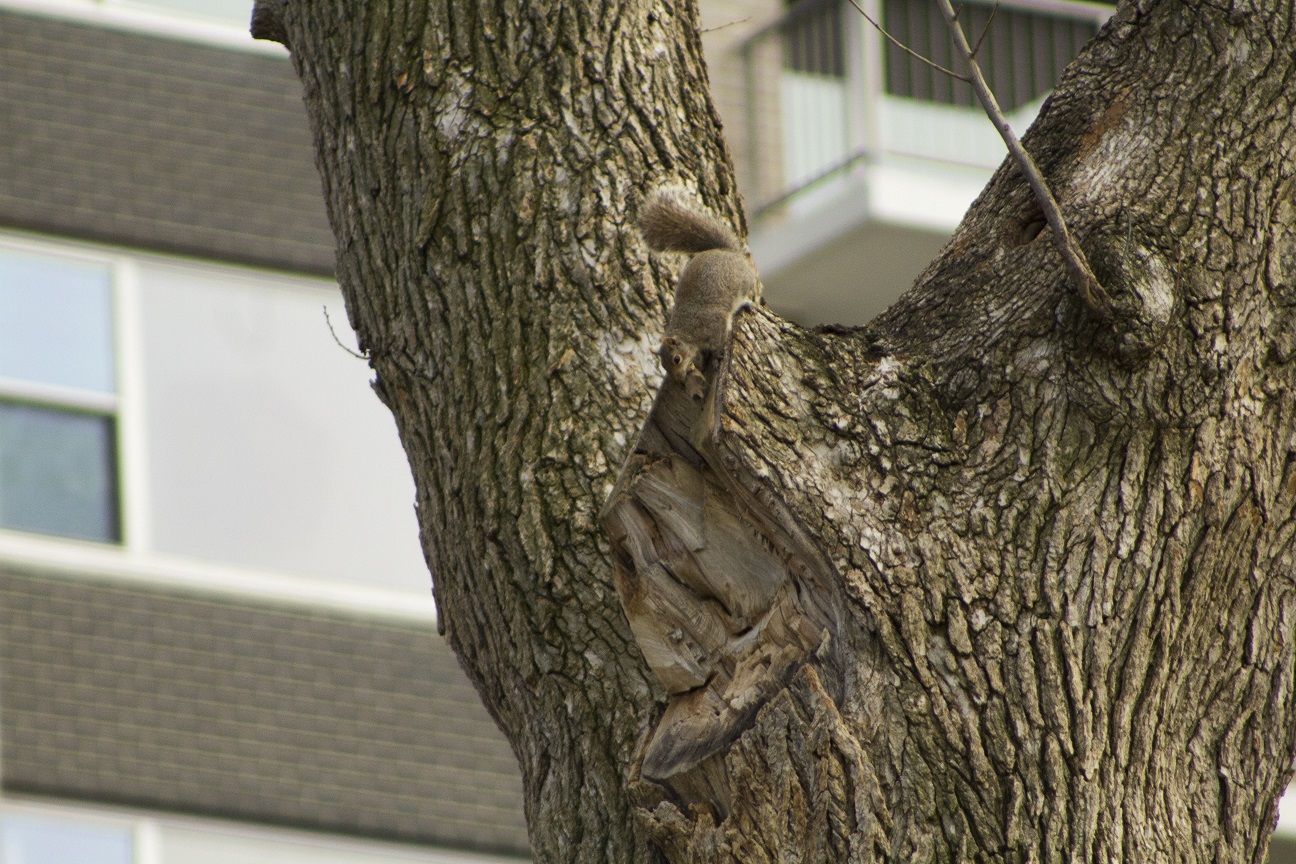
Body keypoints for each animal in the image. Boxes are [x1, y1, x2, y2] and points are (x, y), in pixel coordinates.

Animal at [638, 188, 760, 400]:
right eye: (664, 365)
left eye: (676, 359)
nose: (679, 380)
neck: (688, 333)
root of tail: (728, 252)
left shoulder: (714, 323)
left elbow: (719, 340)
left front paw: (718, 355)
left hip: (742, 283)